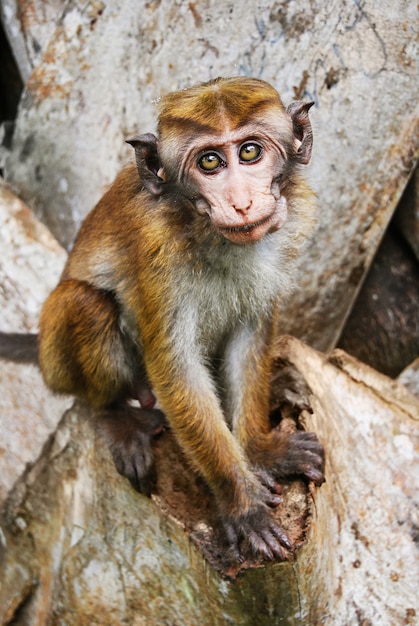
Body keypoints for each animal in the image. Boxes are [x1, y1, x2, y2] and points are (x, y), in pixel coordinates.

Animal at [0, 77, 324, 560]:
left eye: (250, 152)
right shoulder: (156, 251)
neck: (210, 234)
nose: (242, 202)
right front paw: (243, 505)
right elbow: (176, 368)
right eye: (209, 162)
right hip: (59, 362)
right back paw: (116, 414)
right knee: (87, 305)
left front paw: (262, 451)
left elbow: (249, 336)